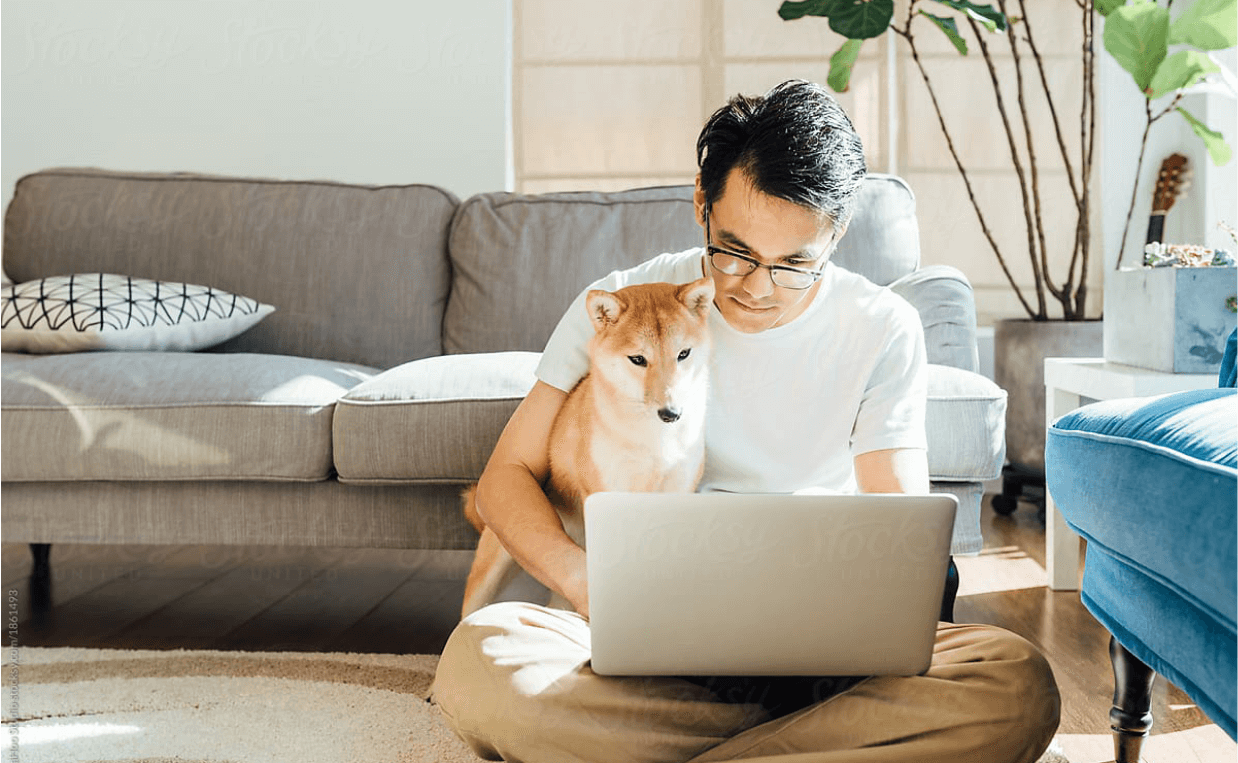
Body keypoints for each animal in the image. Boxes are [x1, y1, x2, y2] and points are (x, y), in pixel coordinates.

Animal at [463, 277, 718, 616]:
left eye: (684, 353)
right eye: (638, 359)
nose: (671, 413)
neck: (652, 441)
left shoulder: (677, 493)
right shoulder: (608, 495)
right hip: (493, 568)